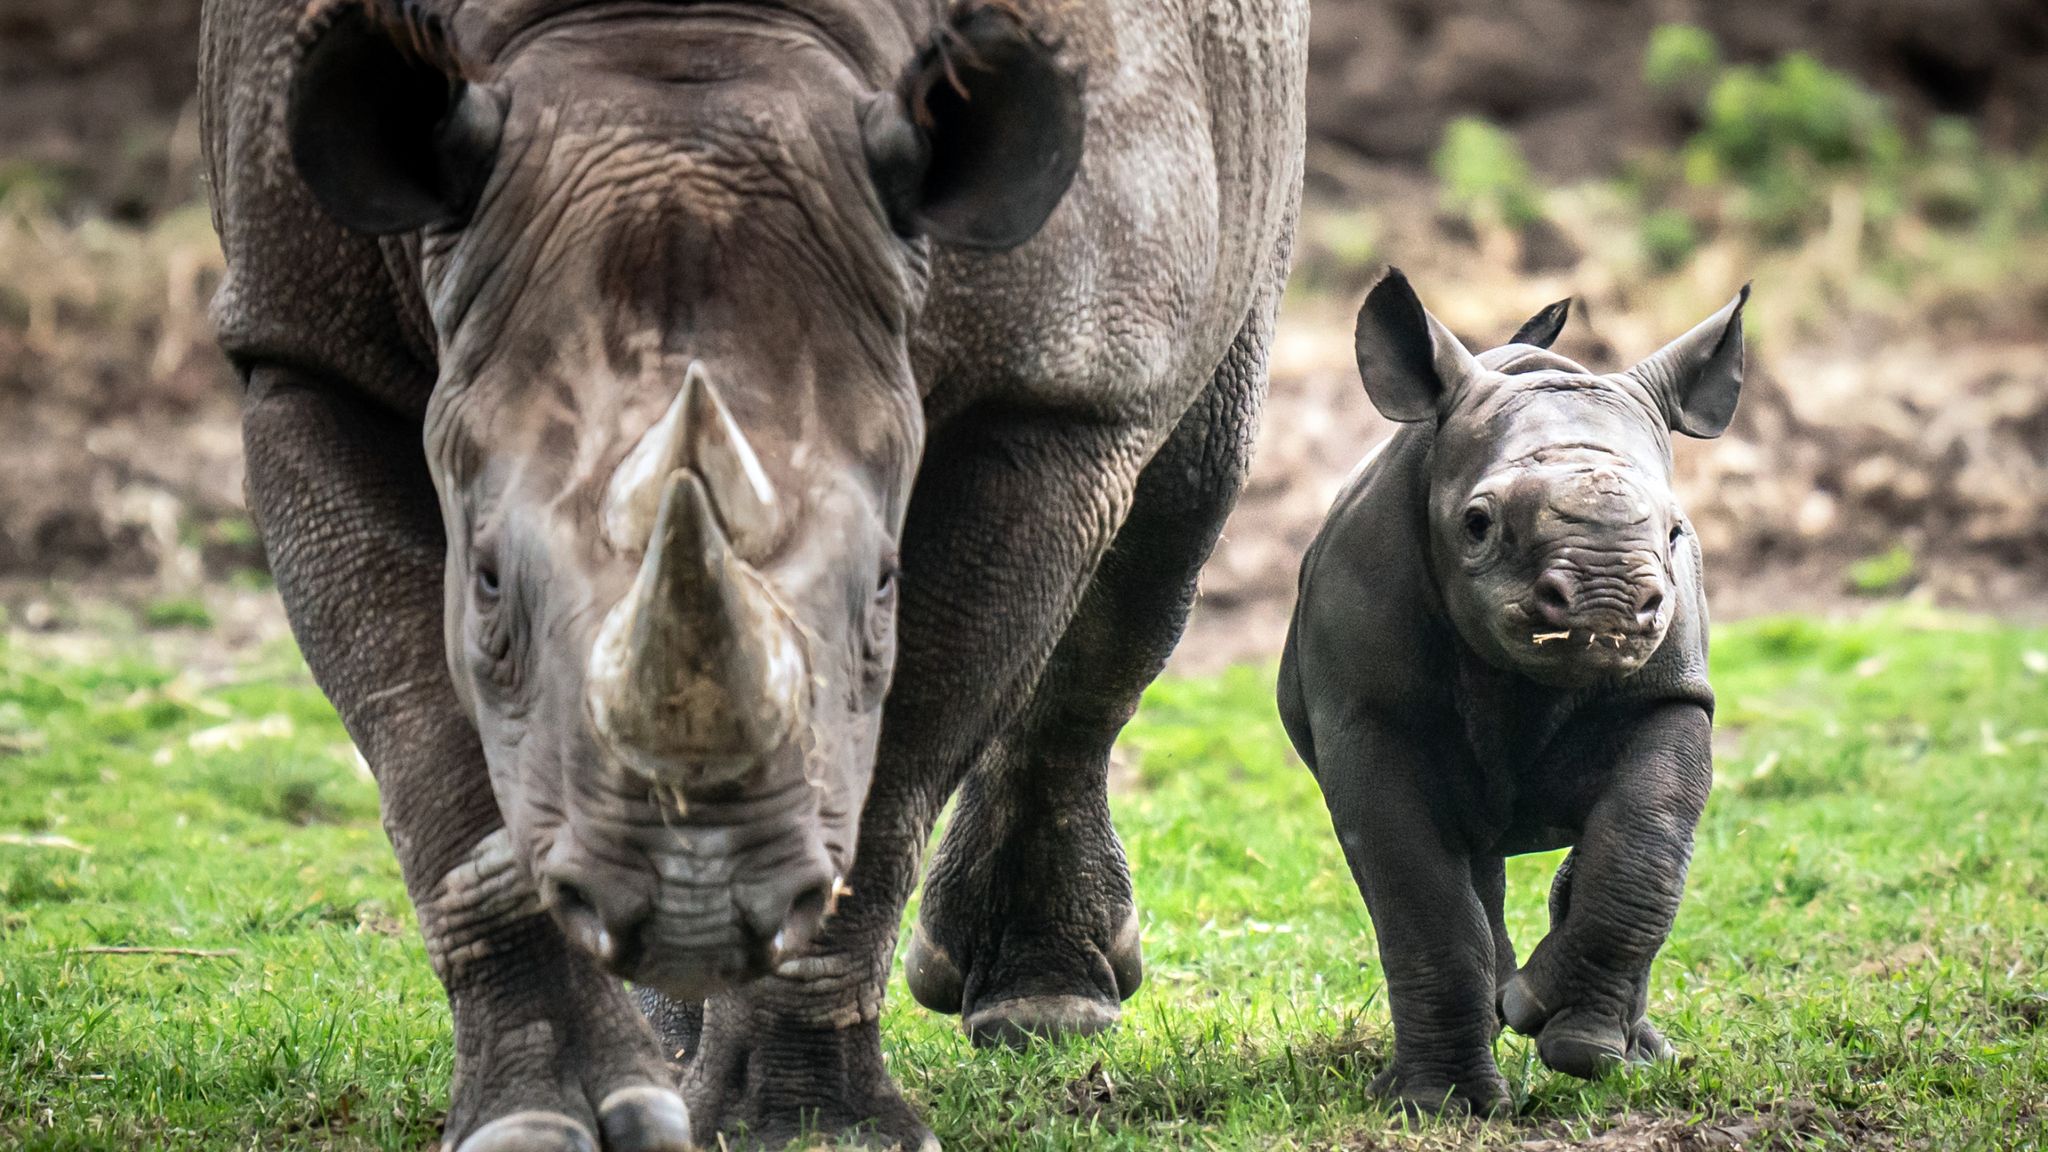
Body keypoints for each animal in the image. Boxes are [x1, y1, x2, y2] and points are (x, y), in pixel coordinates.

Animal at [199, 4, 1302, 1139]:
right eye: (493, 579)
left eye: (882, 587)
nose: (689, 902)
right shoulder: (301, 345)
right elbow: (433, 754)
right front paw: (548, 1120)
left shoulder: (1045, 387)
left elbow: (891, 764)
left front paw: (809, 1128)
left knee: (1178, 498)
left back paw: (1045, 1008)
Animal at [1277, 268, 1744, 1115]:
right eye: (1477, 524)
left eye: (1675, 533)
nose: (1605, 602)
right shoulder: (1367, 717)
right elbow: (1422, 904)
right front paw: (1440, 1105)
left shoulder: (1672, 694)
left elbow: (1646, 843)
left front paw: (1576, 1042)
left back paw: (1633, 1053)